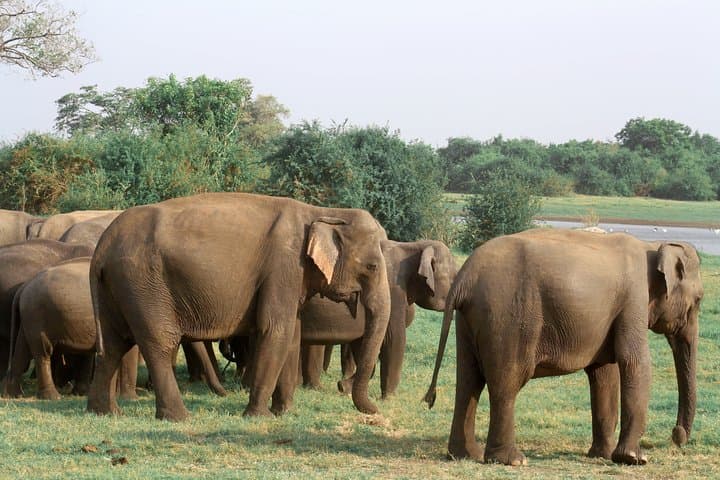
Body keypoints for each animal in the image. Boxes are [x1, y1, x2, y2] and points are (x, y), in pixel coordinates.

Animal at [2, 257, 139, 400]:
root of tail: (24, 286)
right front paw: (129, 398)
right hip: (37, 315)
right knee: (43, 352)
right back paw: (52, 397)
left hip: (29, 317)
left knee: (22, 350)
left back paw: (14, 395)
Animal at [86, 192, 391, 421]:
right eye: (373, 267)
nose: (375, 411)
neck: (321, 211)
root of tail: (101, 249)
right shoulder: (283, 266)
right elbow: (276, 330)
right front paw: (259, 416)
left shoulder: (292, 275)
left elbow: (292, 334)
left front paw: (284, 412)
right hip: (144, 282)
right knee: (159, 342)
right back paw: (179, 417)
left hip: (118, 286)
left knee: (113, 343)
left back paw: (105, 412)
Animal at [300, 239, 457, 397]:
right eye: (453, 280)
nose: (429, 397)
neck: (412, 246)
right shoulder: (393, 289)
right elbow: (394, 339)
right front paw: (388, 398)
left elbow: (363, 344)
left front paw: (343, 387)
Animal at [424, 228, 703, 466]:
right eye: (699, 300)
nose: (677, 436)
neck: (653, 246)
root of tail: (465, 277)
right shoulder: (634, 298)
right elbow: (634, 361)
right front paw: (634, 459)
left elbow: (604, 372)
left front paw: (601, 455)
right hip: (507, 317)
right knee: (506, 383)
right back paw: (512, 460)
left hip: (469, 319)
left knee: (468, 381)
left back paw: (465, 455)